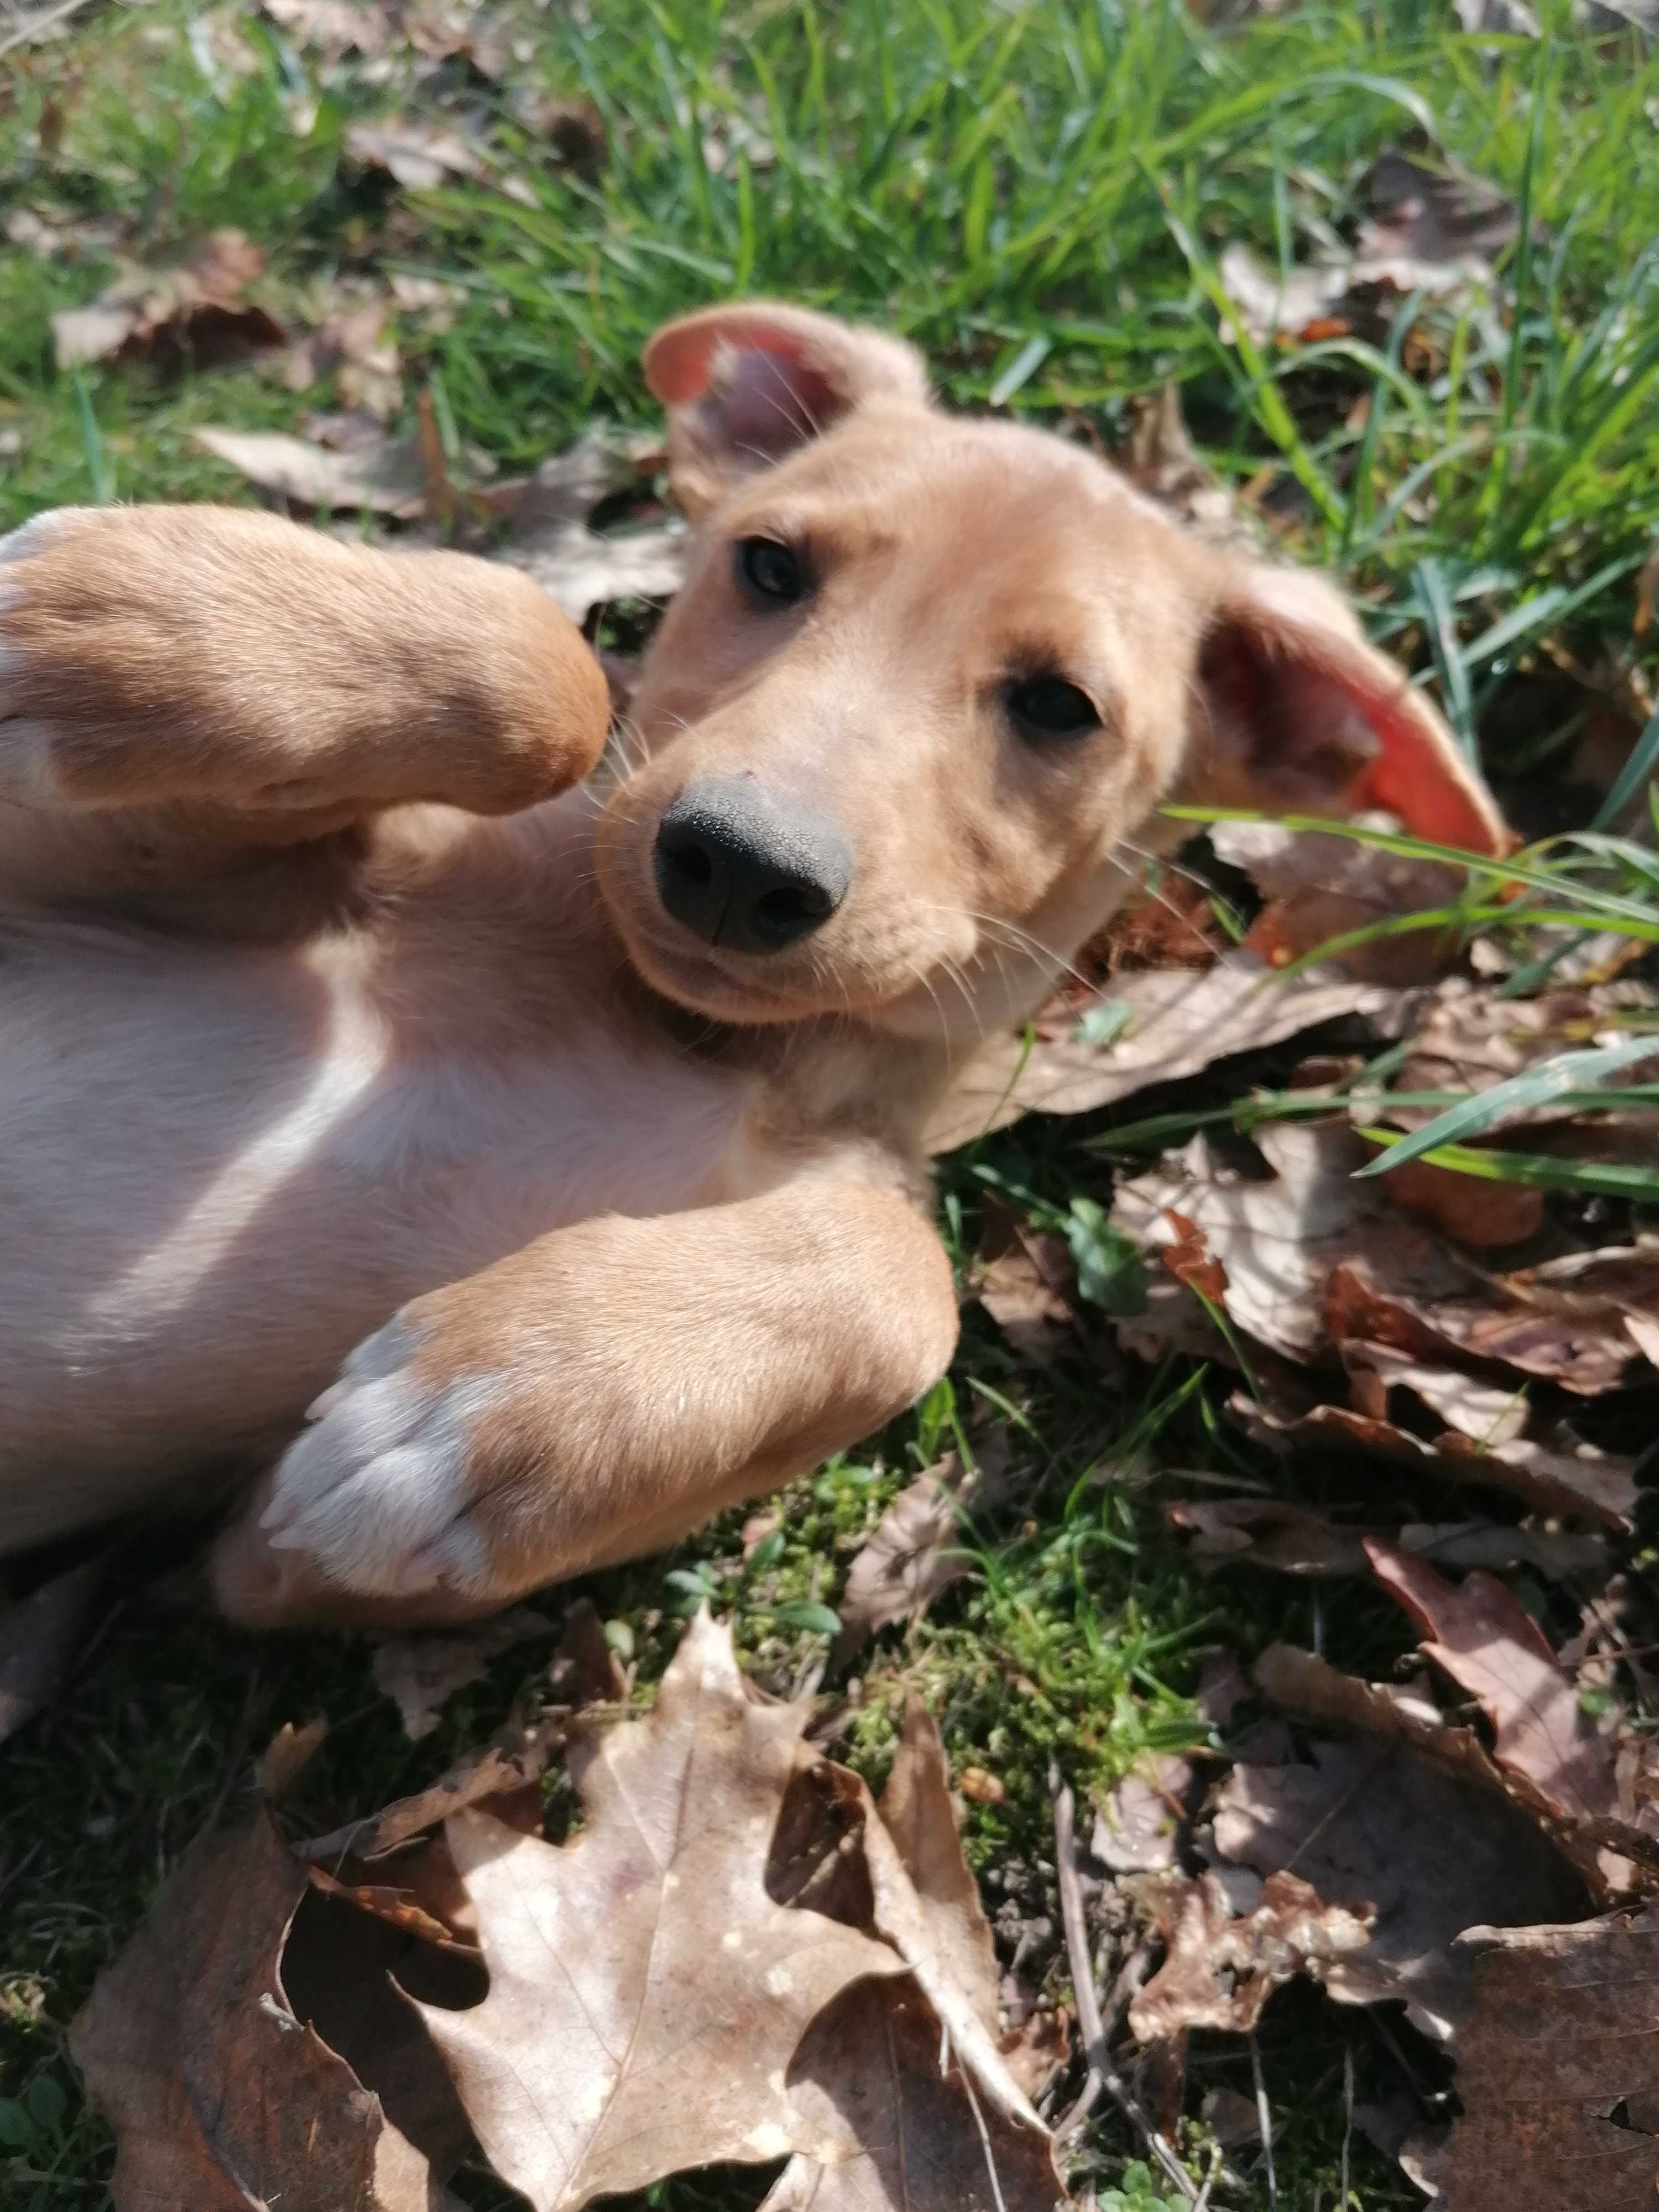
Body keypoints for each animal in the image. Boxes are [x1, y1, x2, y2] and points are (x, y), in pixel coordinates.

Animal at [0, 299, 1513, 1628]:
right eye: (771, 566)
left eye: (1057, 706)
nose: (736, 864)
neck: (682, 1030)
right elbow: (551, 665)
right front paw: (95, 612)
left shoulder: (260, 1560)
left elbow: (907, 1286)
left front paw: (496, 1403)